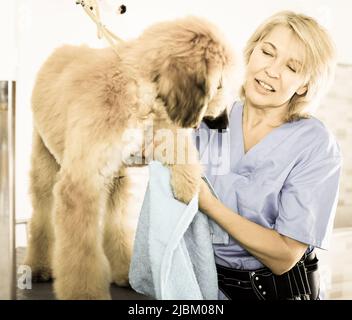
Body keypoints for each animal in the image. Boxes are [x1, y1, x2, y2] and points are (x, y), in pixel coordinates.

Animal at [24, 15, 238, 300]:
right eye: (221, 85)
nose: (224, 125)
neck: (137, 88)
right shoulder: (81, 184)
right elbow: (81, 252)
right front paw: (84, 292)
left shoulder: (151, 138)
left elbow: (176, 146)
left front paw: (186, 184)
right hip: (46, 165)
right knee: (42, 218)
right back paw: (38, 267)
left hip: (118, 180)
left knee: (116, 225)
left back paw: (124, 271)